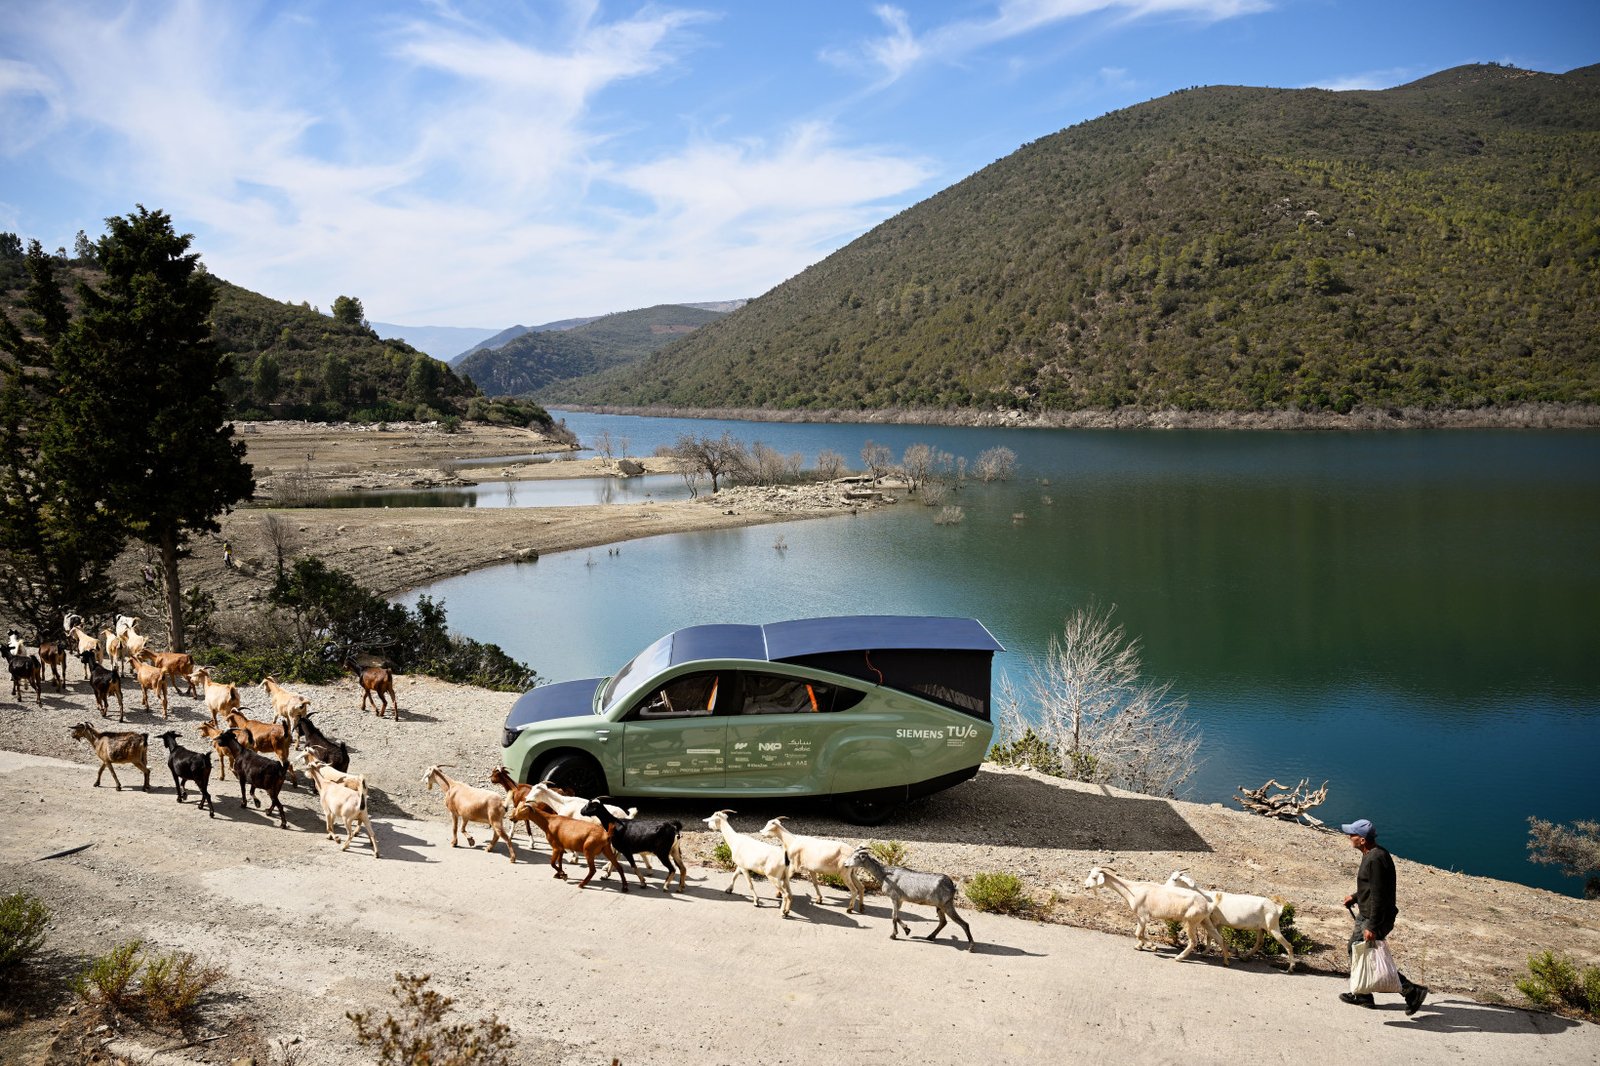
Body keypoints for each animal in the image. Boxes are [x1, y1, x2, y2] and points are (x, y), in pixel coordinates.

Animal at [1081, 864, 1228, 960]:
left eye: (1094, 877)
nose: (1085, 886)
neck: (1133, 889)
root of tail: (1209, 904)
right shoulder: (1141, 917)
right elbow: (1140, 933)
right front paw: (1139, 946)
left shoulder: (1143, 915)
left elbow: (1138, 933)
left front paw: (1152, 946)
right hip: (1204, 920)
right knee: (1219, 937)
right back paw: (1226, 960)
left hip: (1191, 922)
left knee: (1193, 941)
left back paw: (1180, 957)